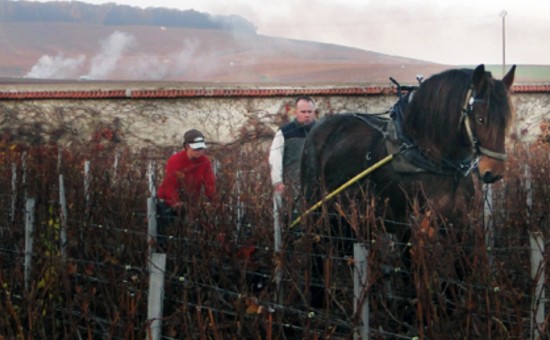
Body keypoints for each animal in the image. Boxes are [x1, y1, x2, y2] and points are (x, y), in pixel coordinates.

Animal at [298, 65, 516, 322]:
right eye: (480, 118)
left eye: (506, 120)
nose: (494, 172)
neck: (427, 157)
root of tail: (316, 130)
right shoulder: (407, 226)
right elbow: (411, 274)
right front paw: (414, 315)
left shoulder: (459, 222)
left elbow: (462, 268)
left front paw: (450, 307)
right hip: (319, 210)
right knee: (318, 248)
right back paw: (318, 299)